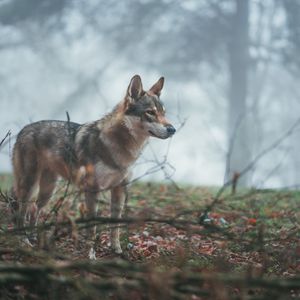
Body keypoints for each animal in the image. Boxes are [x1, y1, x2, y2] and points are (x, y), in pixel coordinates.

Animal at [12, 75, 176, 255]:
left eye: (163, 113)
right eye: (150, 112)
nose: (172, 129)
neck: (120, 147)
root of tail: (23, 129)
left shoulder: (119, 190)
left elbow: (115, 226)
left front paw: (117, 250)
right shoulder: (92, 190)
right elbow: (92, 228)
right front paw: (91, 254)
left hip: (48, 190)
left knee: (34, 209)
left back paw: (34, 238)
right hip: (30, 185)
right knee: (21, 213)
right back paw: (24, 241)